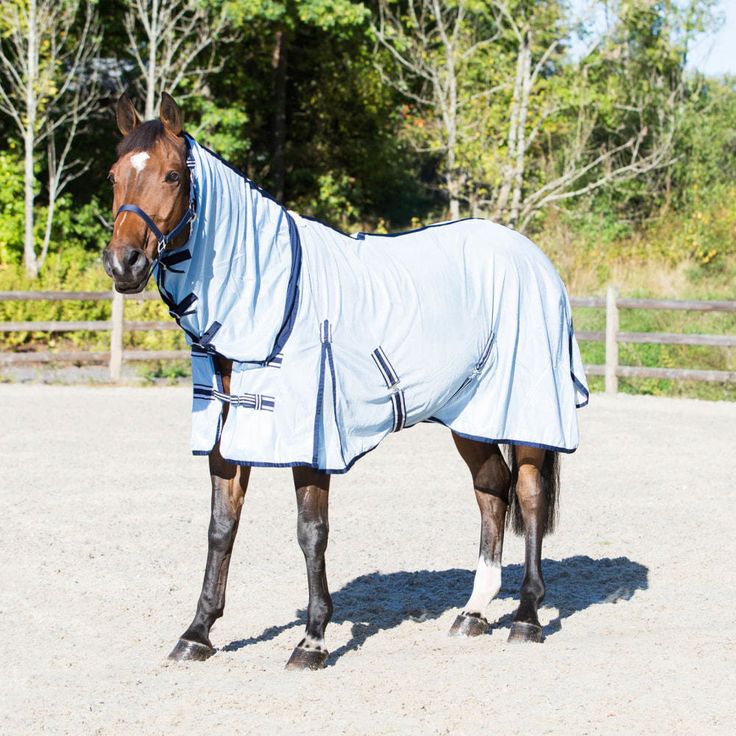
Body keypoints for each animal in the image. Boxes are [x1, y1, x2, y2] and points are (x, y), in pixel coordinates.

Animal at [102, 90, 564, 668]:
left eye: (170, 176)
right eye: (114, 174)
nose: (123, 263)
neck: (273, 298)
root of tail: (532, 257)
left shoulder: (311, 439)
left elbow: (311, 532)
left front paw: (313, 640)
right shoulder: (227, 436)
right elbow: (220, 529)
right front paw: (197, 633)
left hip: (526, 411)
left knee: (528, 494)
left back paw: (526, 618)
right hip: (471, 416)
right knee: (491, 489)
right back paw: (473, 613)